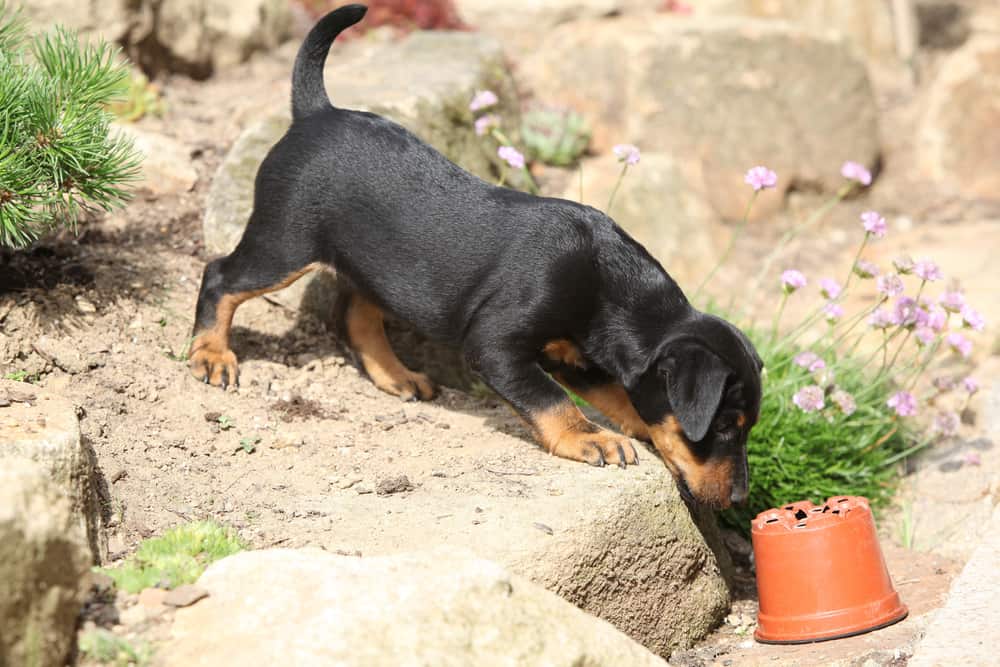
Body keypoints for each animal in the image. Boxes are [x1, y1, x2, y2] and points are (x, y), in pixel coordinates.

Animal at [189, 5, 764, 508]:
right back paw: (211, 355)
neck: (607, 285)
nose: (740, 499)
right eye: (721, 427)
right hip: (284, 244)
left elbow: (621, 397)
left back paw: (396, 375)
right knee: (221, 275)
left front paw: (629, 428)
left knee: (355, 313)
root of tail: (316, 112)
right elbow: (550, 400)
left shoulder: (580, 358)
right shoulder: (495, 346)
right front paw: (590, 438)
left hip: (372, 263)